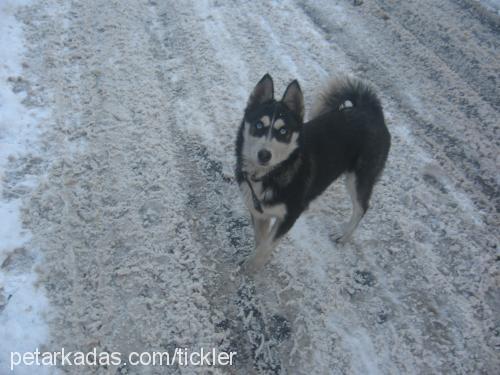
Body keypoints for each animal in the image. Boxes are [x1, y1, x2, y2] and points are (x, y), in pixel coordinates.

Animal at [236, 74, 392, 274]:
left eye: (283, 131)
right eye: (258, 125)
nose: (264, 154)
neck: (273, 173)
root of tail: (371, 111)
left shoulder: (290, 215)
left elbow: (267, 244)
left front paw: (252, 266)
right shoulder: (258, 212)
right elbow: (261, 240)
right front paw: (257, 261)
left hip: (358, 178)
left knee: (361, 207)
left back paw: (343, 235)